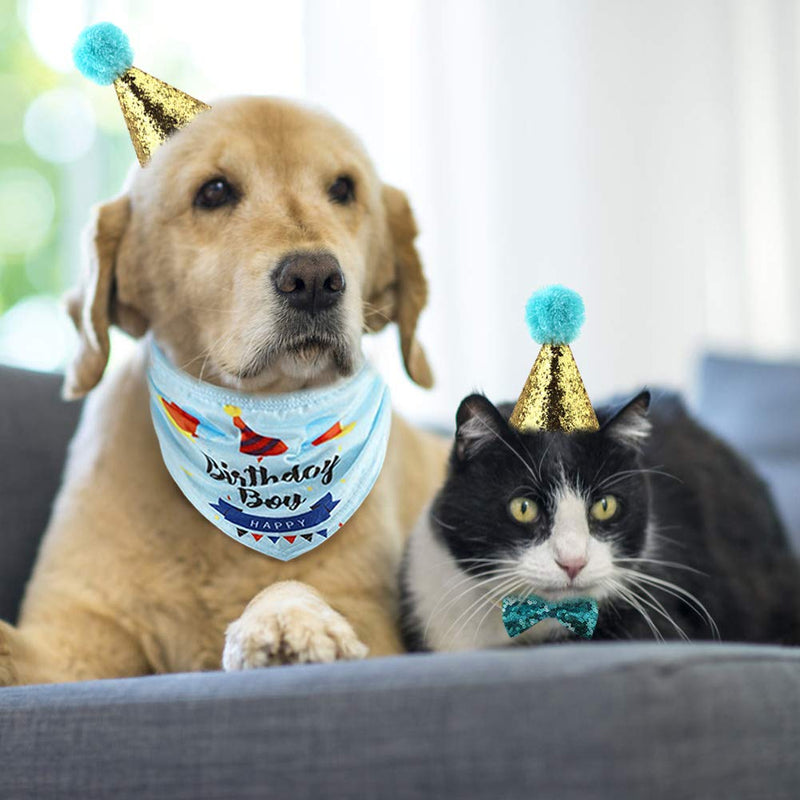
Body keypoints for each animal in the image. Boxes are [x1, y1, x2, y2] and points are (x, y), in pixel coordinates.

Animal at [0, 97, 450, 684]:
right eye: (213, 192)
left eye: (343, 188)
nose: (314, 280)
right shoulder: (70, 641)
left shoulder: (374, 622)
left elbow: (293, 584)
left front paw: (287, 618)